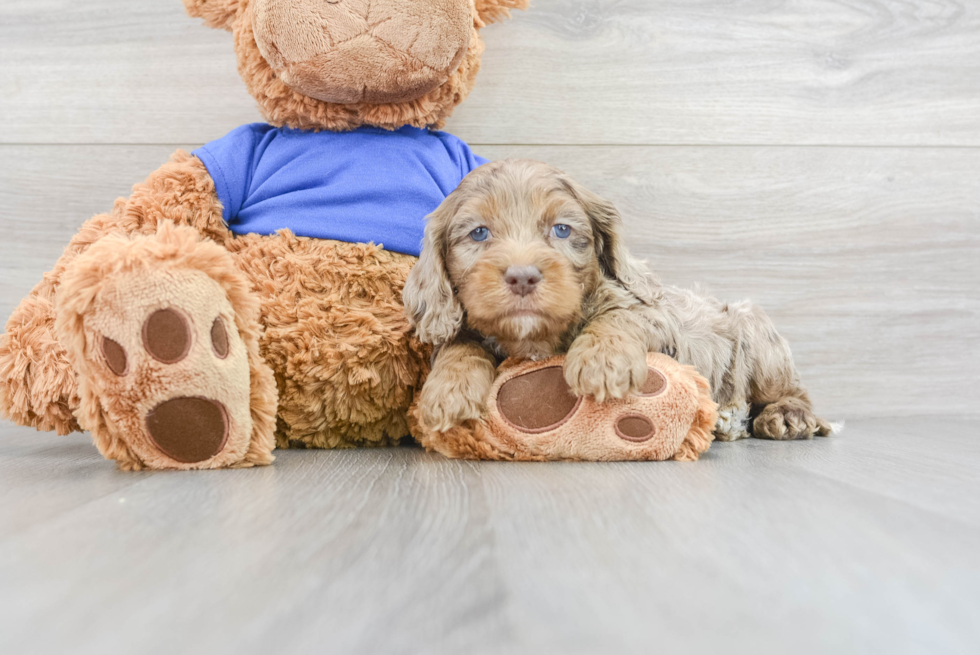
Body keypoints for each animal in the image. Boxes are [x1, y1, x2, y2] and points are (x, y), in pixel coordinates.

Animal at [402, 161, 832, 444]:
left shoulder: (654, 313)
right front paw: (448, 390)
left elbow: (619, 316)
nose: (522, 276)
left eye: (562, 229)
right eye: (478, 233)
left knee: (790, 390)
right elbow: (459, 342)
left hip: (757, 335)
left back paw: (785, 416)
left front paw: (601, 361)